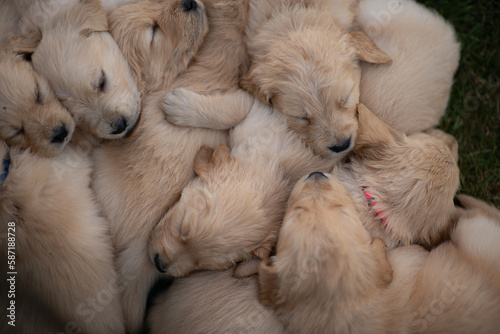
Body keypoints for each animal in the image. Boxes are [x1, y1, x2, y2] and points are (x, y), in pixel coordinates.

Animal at [258, 172, 500, 334]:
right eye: (297, 211)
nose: (317, 174)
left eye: (342, 210)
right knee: (469, 217)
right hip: (472, 233)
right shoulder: (410, 254)